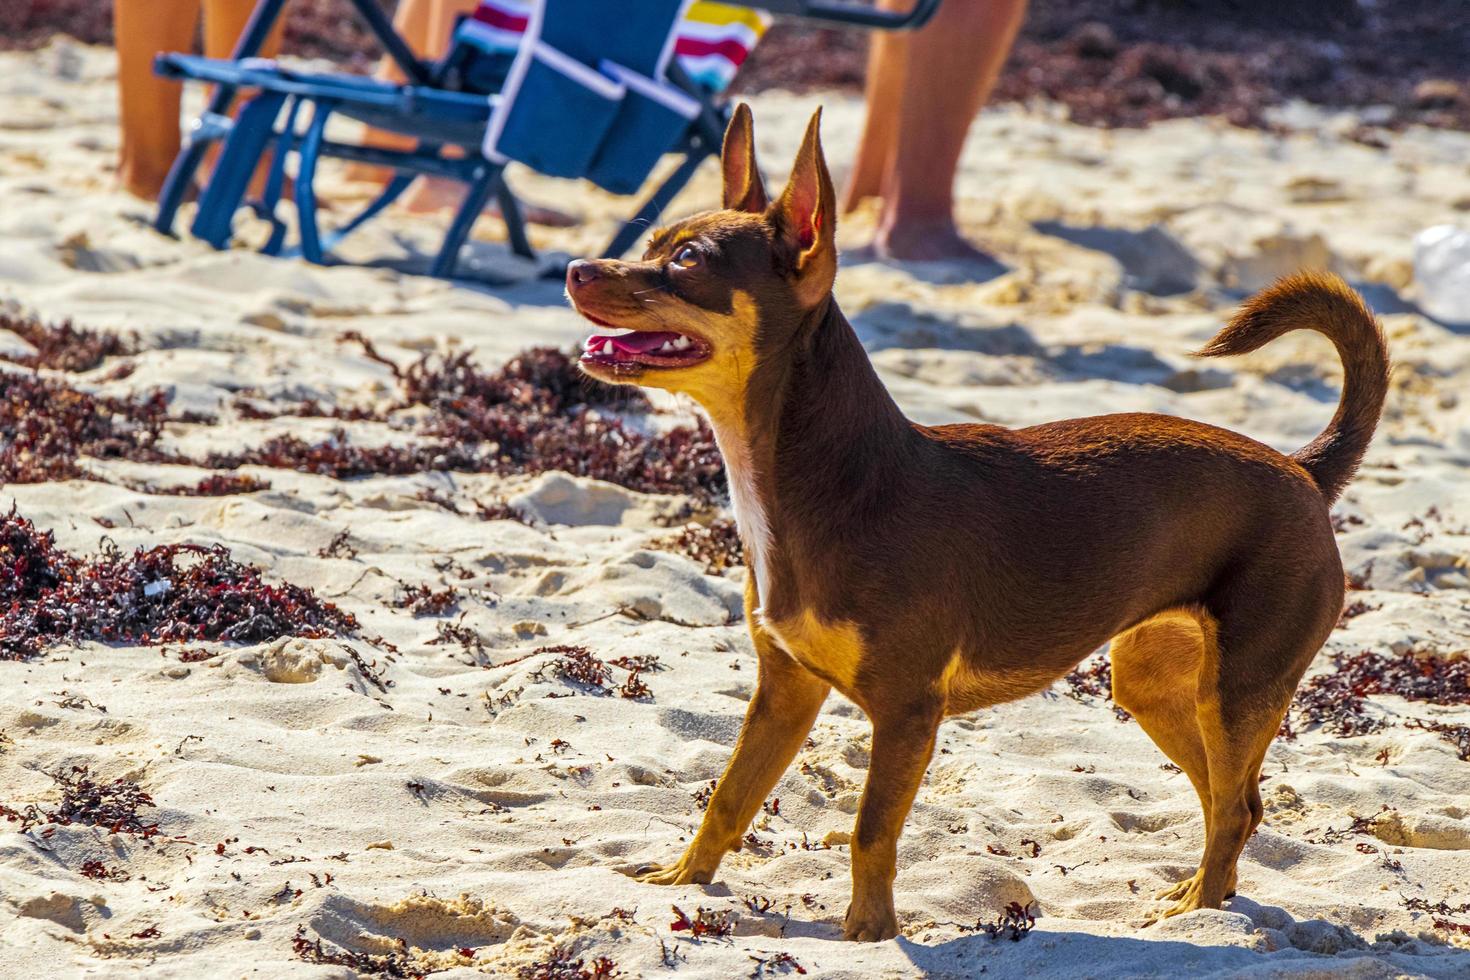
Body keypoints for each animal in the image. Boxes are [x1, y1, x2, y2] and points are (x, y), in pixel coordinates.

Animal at [561, 105, 1387, 940]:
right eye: (650, 246)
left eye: (687, 261)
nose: (574, 268)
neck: (816, 482)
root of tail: (1304, 471)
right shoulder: (783, 691)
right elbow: (730, 796)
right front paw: (685, 880)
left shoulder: (907, 712)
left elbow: (869, 830)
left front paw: (868, 933)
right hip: (1154, 683)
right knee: (1237, 801)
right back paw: (1205, 898)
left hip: (1237, 691)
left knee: (1233, 807)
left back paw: (1196, 911)